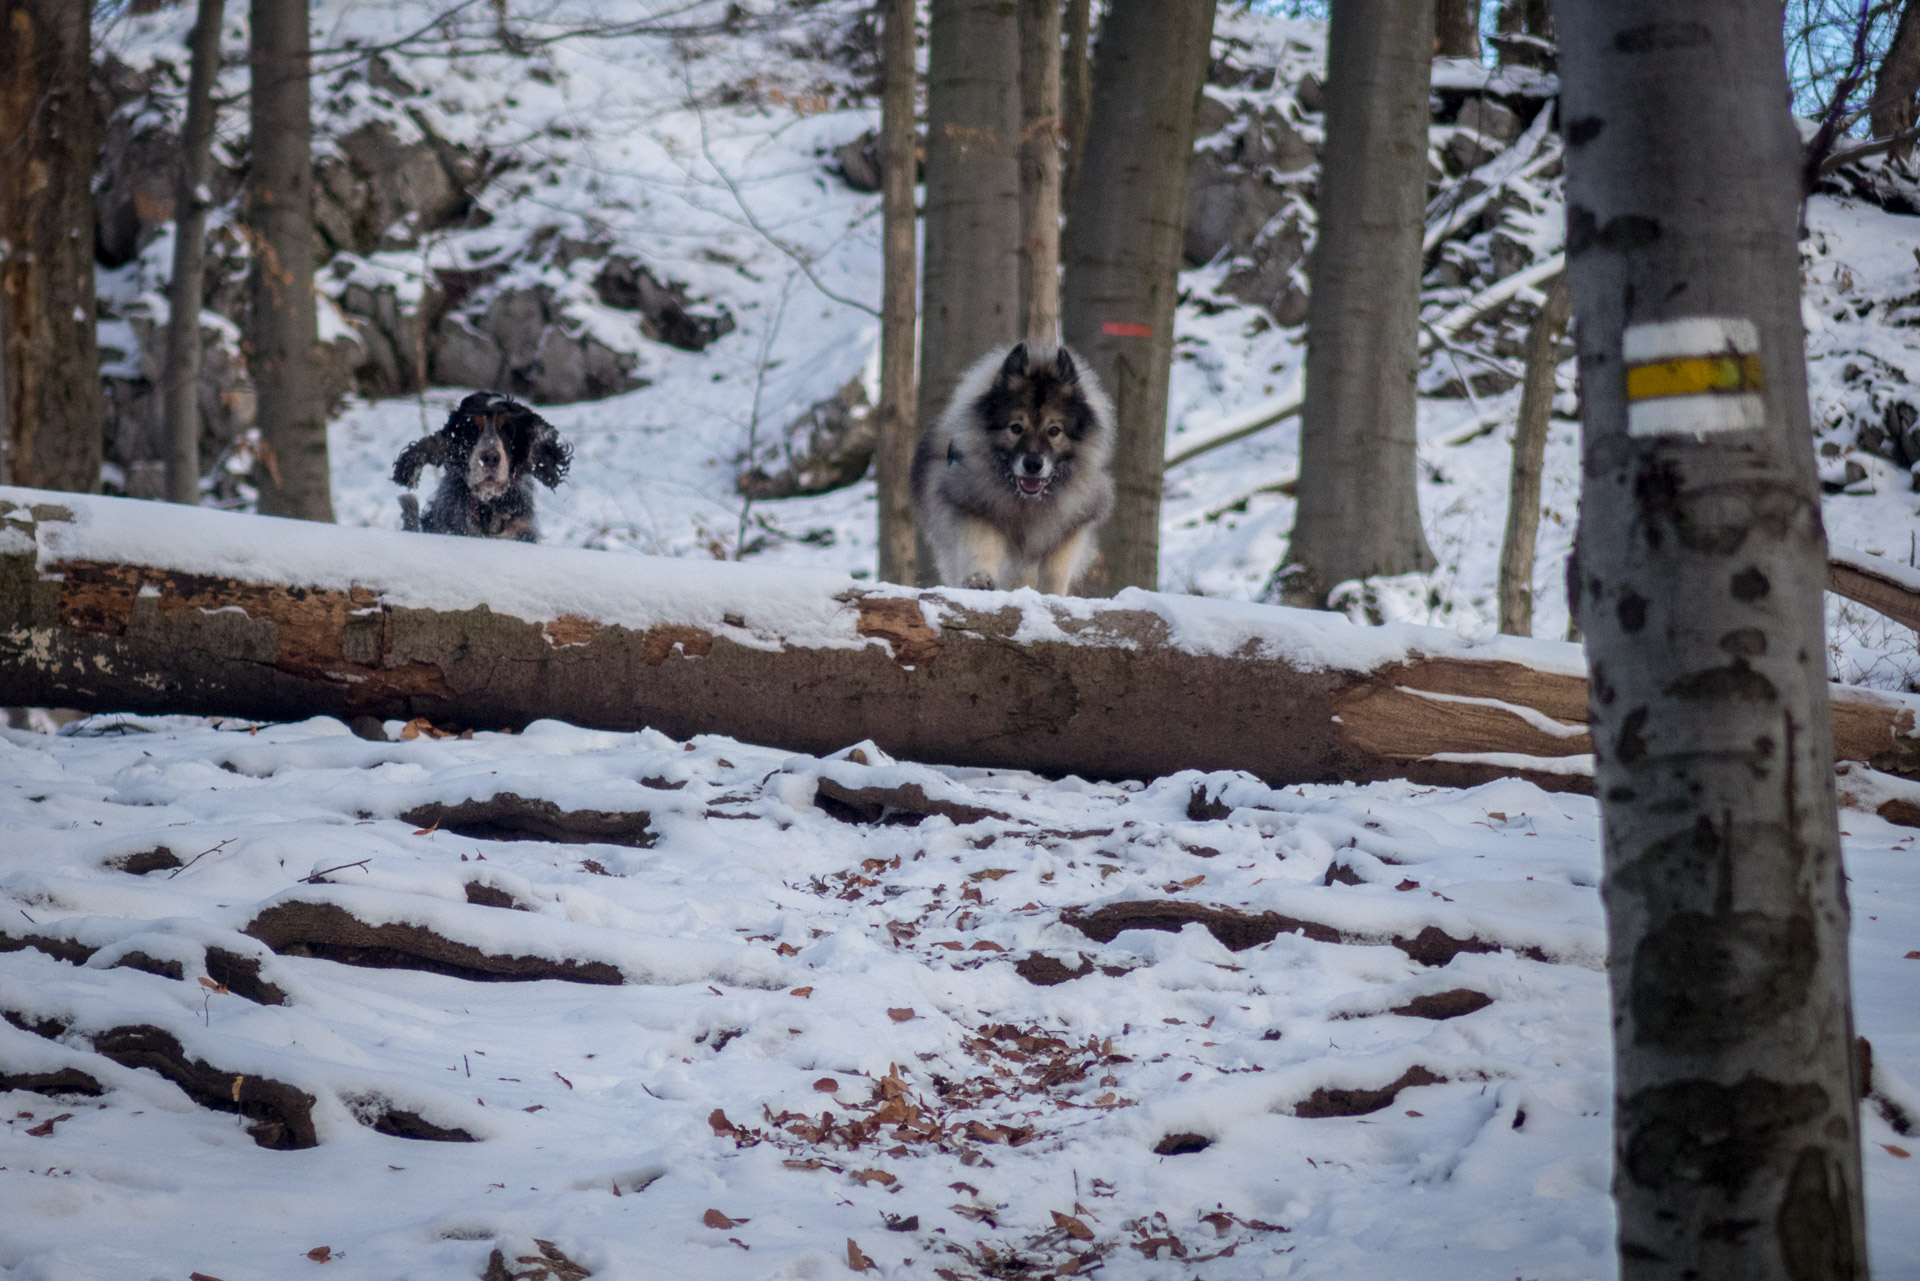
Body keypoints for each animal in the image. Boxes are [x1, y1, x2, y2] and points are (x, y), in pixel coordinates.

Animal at [910, 343, 1121, 599]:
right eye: (1016, 428)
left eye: (1054, 431)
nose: (1033, 464)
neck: (1027, 503)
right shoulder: (977, 511)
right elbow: (982, 549)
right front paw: (980, 579)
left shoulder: (1067, 531)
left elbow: (1055, 573)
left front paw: (1051, 595)